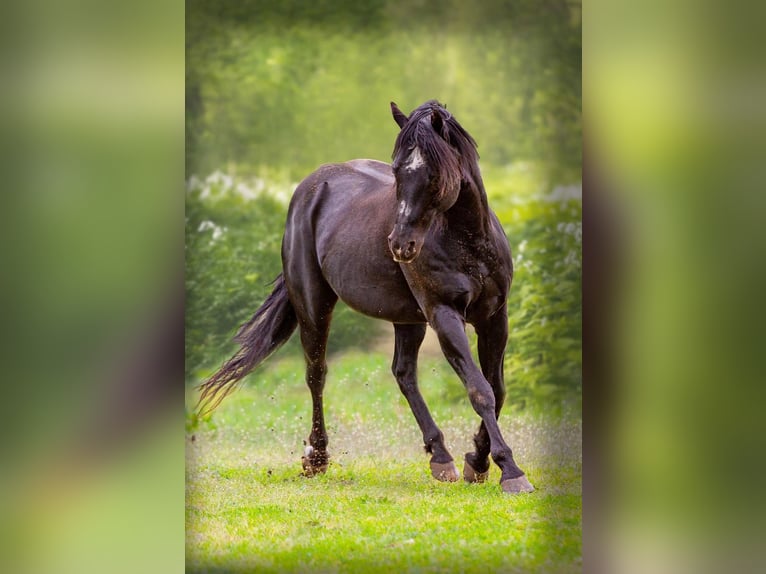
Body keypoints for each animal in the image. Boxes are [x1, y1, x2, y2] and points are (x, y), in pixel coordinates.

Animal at [197, 100, 534, 494]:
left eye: (434, 174)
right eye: (397, 170)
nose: (401, 245)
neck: (468, 243)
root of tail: (311, 188)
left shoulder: (495, 317)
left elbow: (497, 389)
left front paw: (478, 463)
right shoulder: (444, 315)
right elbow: (480, 390)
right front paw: (510, 470)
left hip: (407, 318)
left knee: (404, 374)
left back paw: (440, 458)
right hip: (315, 306)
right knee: (317, 374)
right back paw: (317, 458)